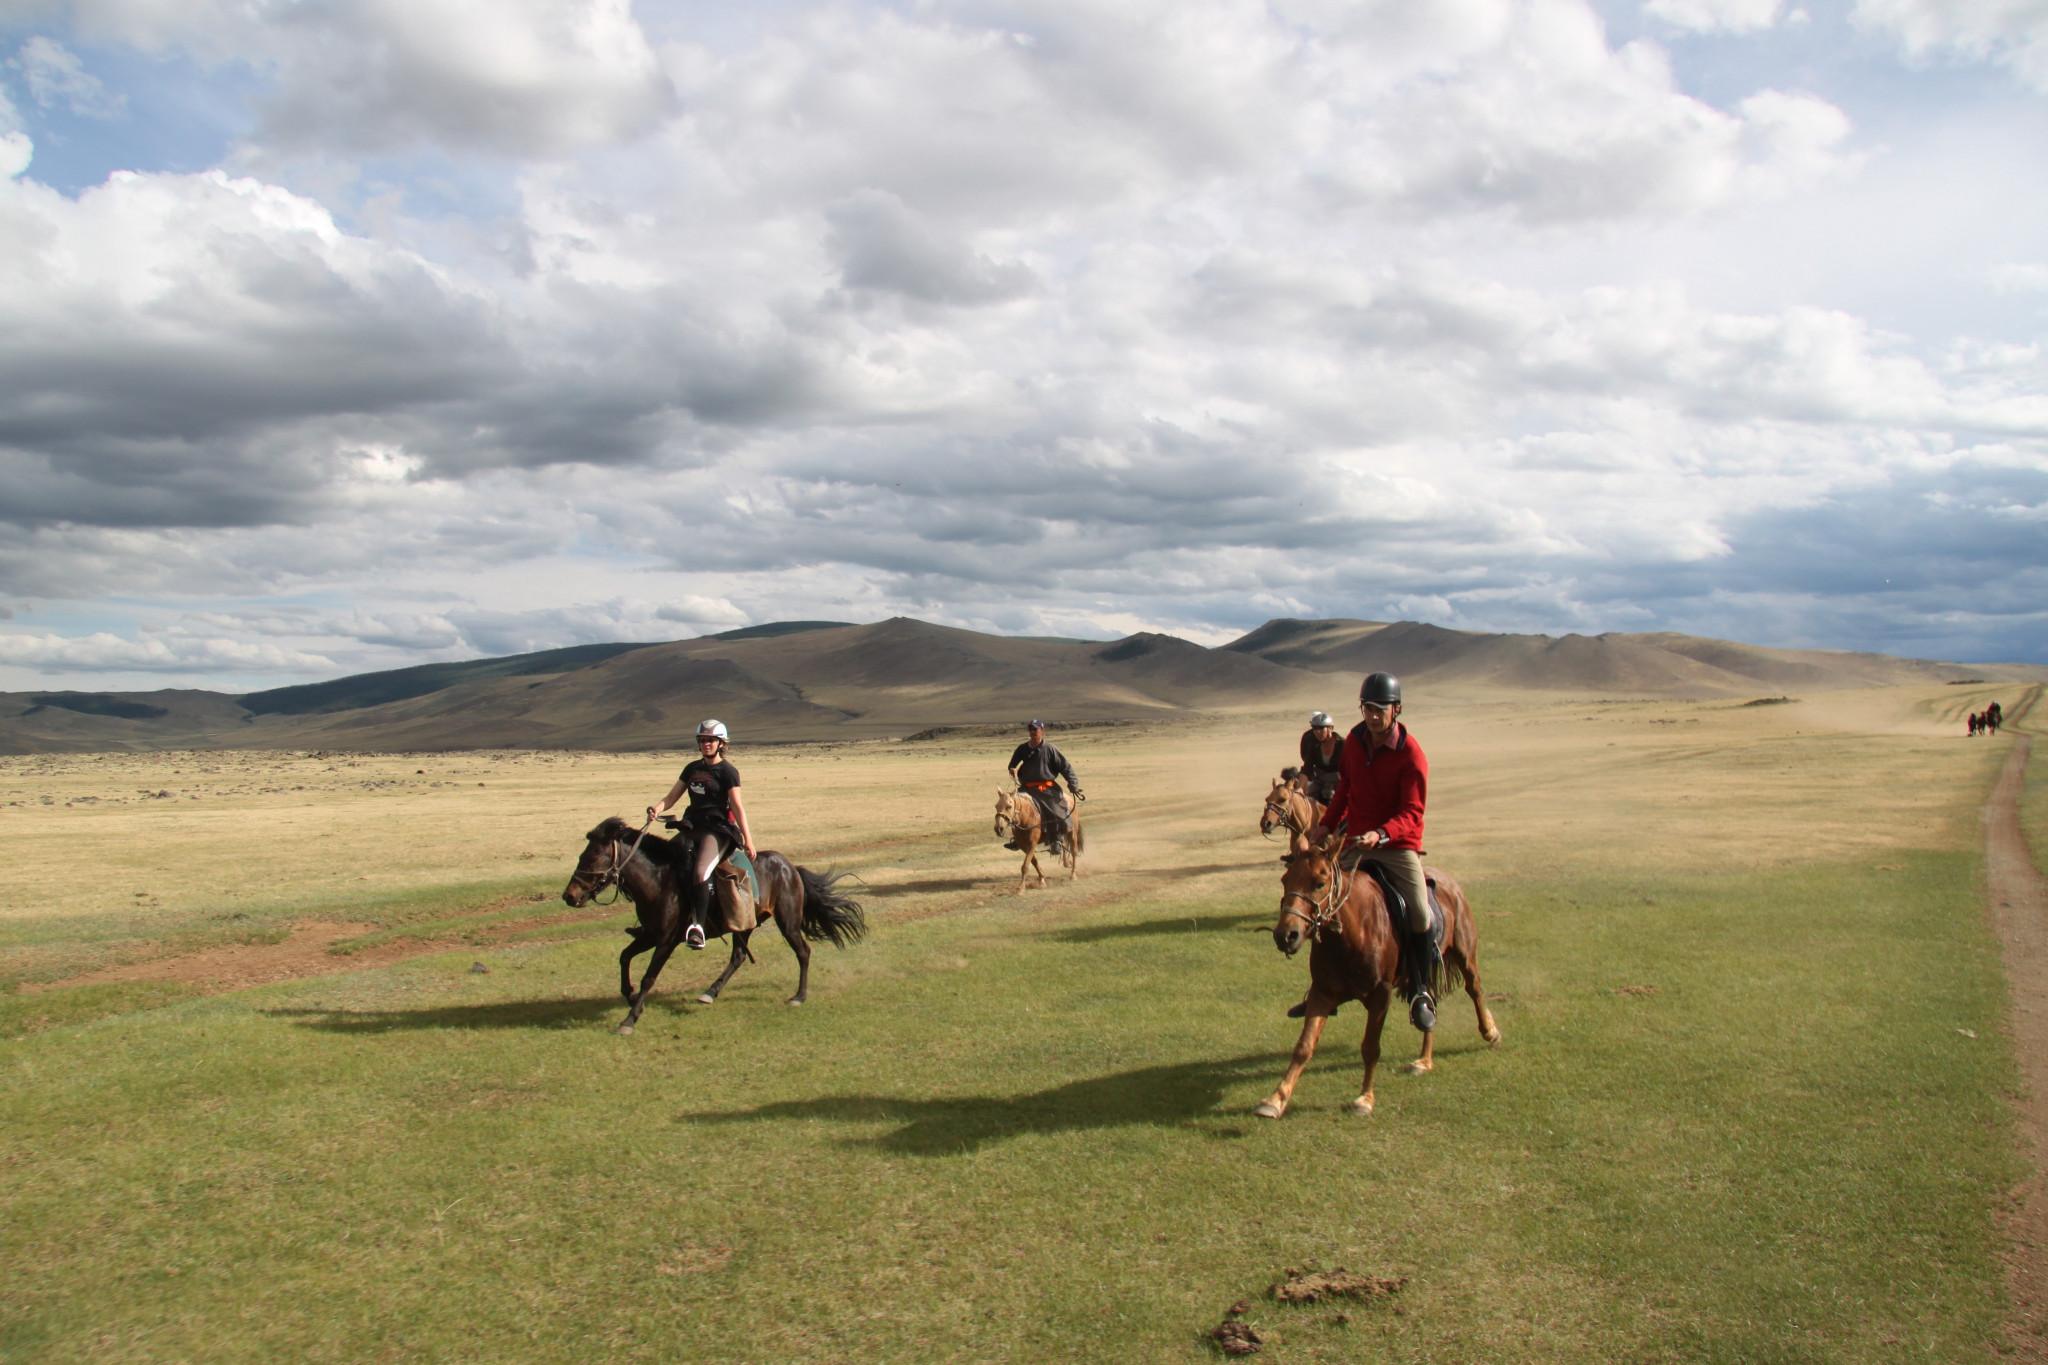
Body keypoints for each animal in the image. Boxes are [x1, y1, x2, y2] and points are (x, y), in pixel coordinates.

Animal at [565, 822, 868, 1035]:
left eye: (594, 858)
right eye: (581, 855)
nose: (568, 896)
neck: (658, 879)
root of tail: (790, 866)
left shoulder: (666, 940)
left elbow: (649, 977)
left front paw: (630, 1018)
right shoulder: (650, 934)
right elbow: (625, 957)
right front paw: (629, 996)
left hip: (788, 921)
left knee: (803, 952)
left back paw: (798, 996)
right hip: (744, 924)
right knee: (738, 956)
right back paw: (710, 992)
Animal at [1245, 834, 1507, 1121]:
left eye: (1320, 883)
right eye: (1285, 880)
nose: (1285, 935)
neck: (1350, 934)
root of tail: (1449, 882)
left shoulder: (1380, 995)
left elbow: (1370, 1047)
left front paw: (1364, 1098)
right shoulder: (1322, 993)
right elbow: (1304, 1046)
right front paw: (1276, 1099)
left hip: (1464, 952)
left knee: (1474, 988)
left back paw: (1490, 1031)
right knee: (1432, 1002)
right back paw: (1424, 1060)